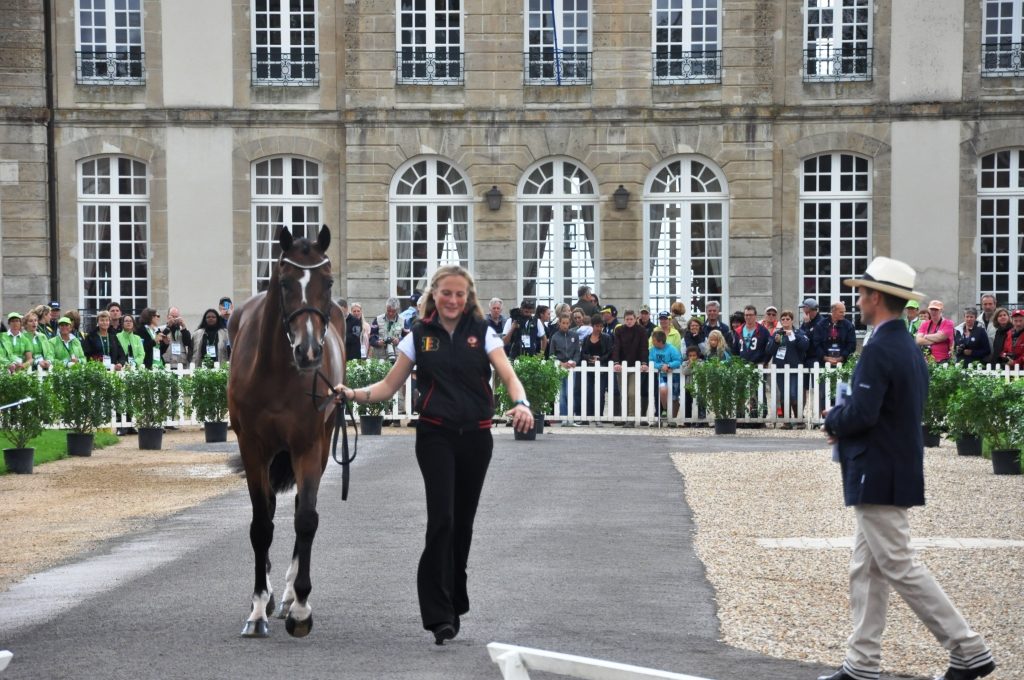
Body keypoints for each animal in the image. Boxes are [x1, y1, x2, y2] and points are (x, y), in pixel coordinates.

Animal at [229, 224, 348, 639]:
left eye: (328, 282)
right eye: (284, 282)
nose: (309, 352)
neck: (276, 373)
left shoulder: (308, 446)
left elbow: (306, 519)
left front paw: (300, 607)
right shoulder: (253, 448)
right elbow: (261, 524)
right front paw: (256, 610)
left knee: (298, 508)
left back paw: (287, 597)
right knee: (267, 509)